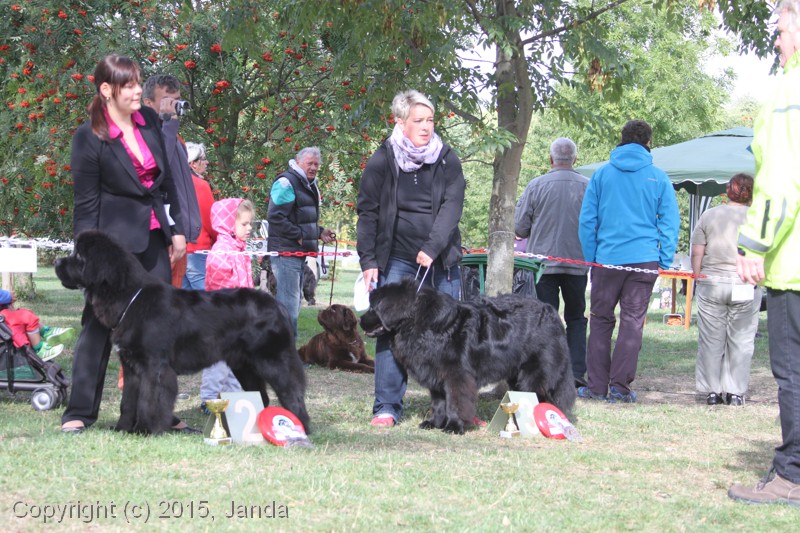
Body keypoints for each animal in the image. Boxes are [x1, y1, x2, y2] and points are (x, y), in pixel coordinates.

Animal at [55, 231, 310, 435]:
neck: (129, 298)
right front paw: (122, 429)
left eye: (78, 257)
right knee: (261, 394)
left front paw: (145, 430)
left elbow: (149, 400)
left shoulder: (154, 366)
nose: (57, 260)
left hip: (273, 359)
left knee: (291, 391)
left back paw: (299, 427)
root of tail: (276, 305)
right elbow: (128, 401)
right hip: (244, 366)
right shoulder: (131, 366)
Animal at [360, 279, 575, 434]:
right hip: (517, 374)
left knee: (542, 395)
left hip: (535, 372)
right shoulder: (435, 374)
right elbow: (438, 403)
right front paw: (433, 423)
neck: (421, 324)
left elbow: (456, 402)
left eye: (372, 308)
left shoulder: (457, 376)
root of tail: (552, 313)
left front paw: (454, 426)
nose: (360, 320)